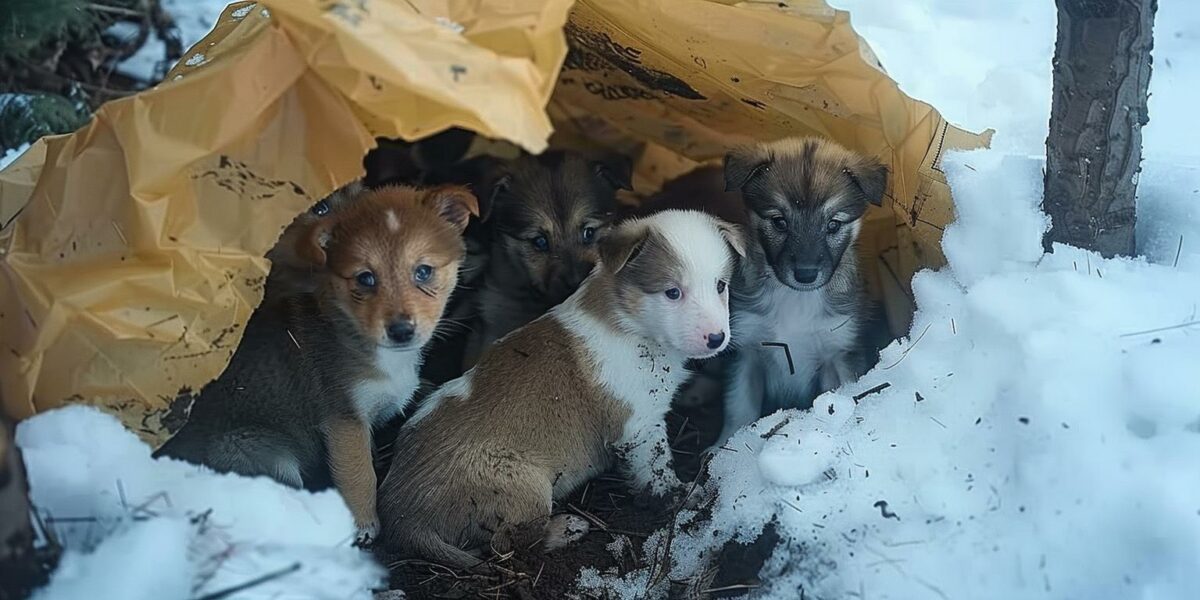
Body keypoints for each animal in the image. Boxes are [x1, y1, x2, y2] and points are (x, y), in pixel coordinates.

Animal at [154, 183, 477, 544]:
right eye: (365, 278)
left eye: (424, 271)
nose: (401, 331)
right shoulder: (343, 419)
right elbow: (360, 475)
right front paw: (364, 526)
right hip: (262, 455)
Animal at [379, 210, 744, 566]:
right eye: (672, 292)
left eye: (721, 285)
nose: (717, 339)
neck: (630, 324)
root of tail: (403, 519)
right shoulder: (639, 426)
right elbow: (657, 468)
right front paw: (681, 494)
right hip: (526, 487)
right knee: (507, 544)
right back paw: (567, 528)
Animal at [715, 137, 888, 446]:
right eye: (779, 221)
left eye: (833, 224)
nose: (805, 274)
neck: (795, 298)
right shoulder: (746, 351)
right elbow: (738, 410)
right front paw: (723, 447)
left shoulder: (839, 353)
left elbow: (840, 401)